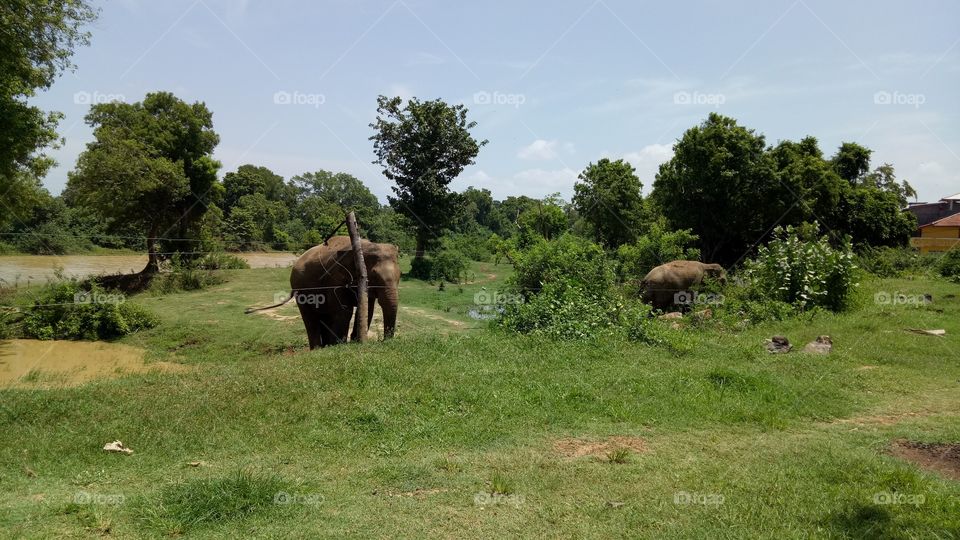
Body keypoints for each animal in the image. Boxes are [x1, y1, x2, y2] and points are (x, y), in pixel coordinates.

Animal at [246, 236, 400, 349]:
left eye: (400, 275)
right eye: (373, 276)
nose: (385, 341)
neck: (363, 246)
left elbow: (367, 308)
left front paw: (352, 342)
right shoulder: (334, 278)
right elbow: (344, 310)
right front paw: (338, 346)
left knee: (325, 316)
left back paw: (325, 345)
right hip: (300, 289)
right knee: (310, 317)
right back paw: (317, 348)